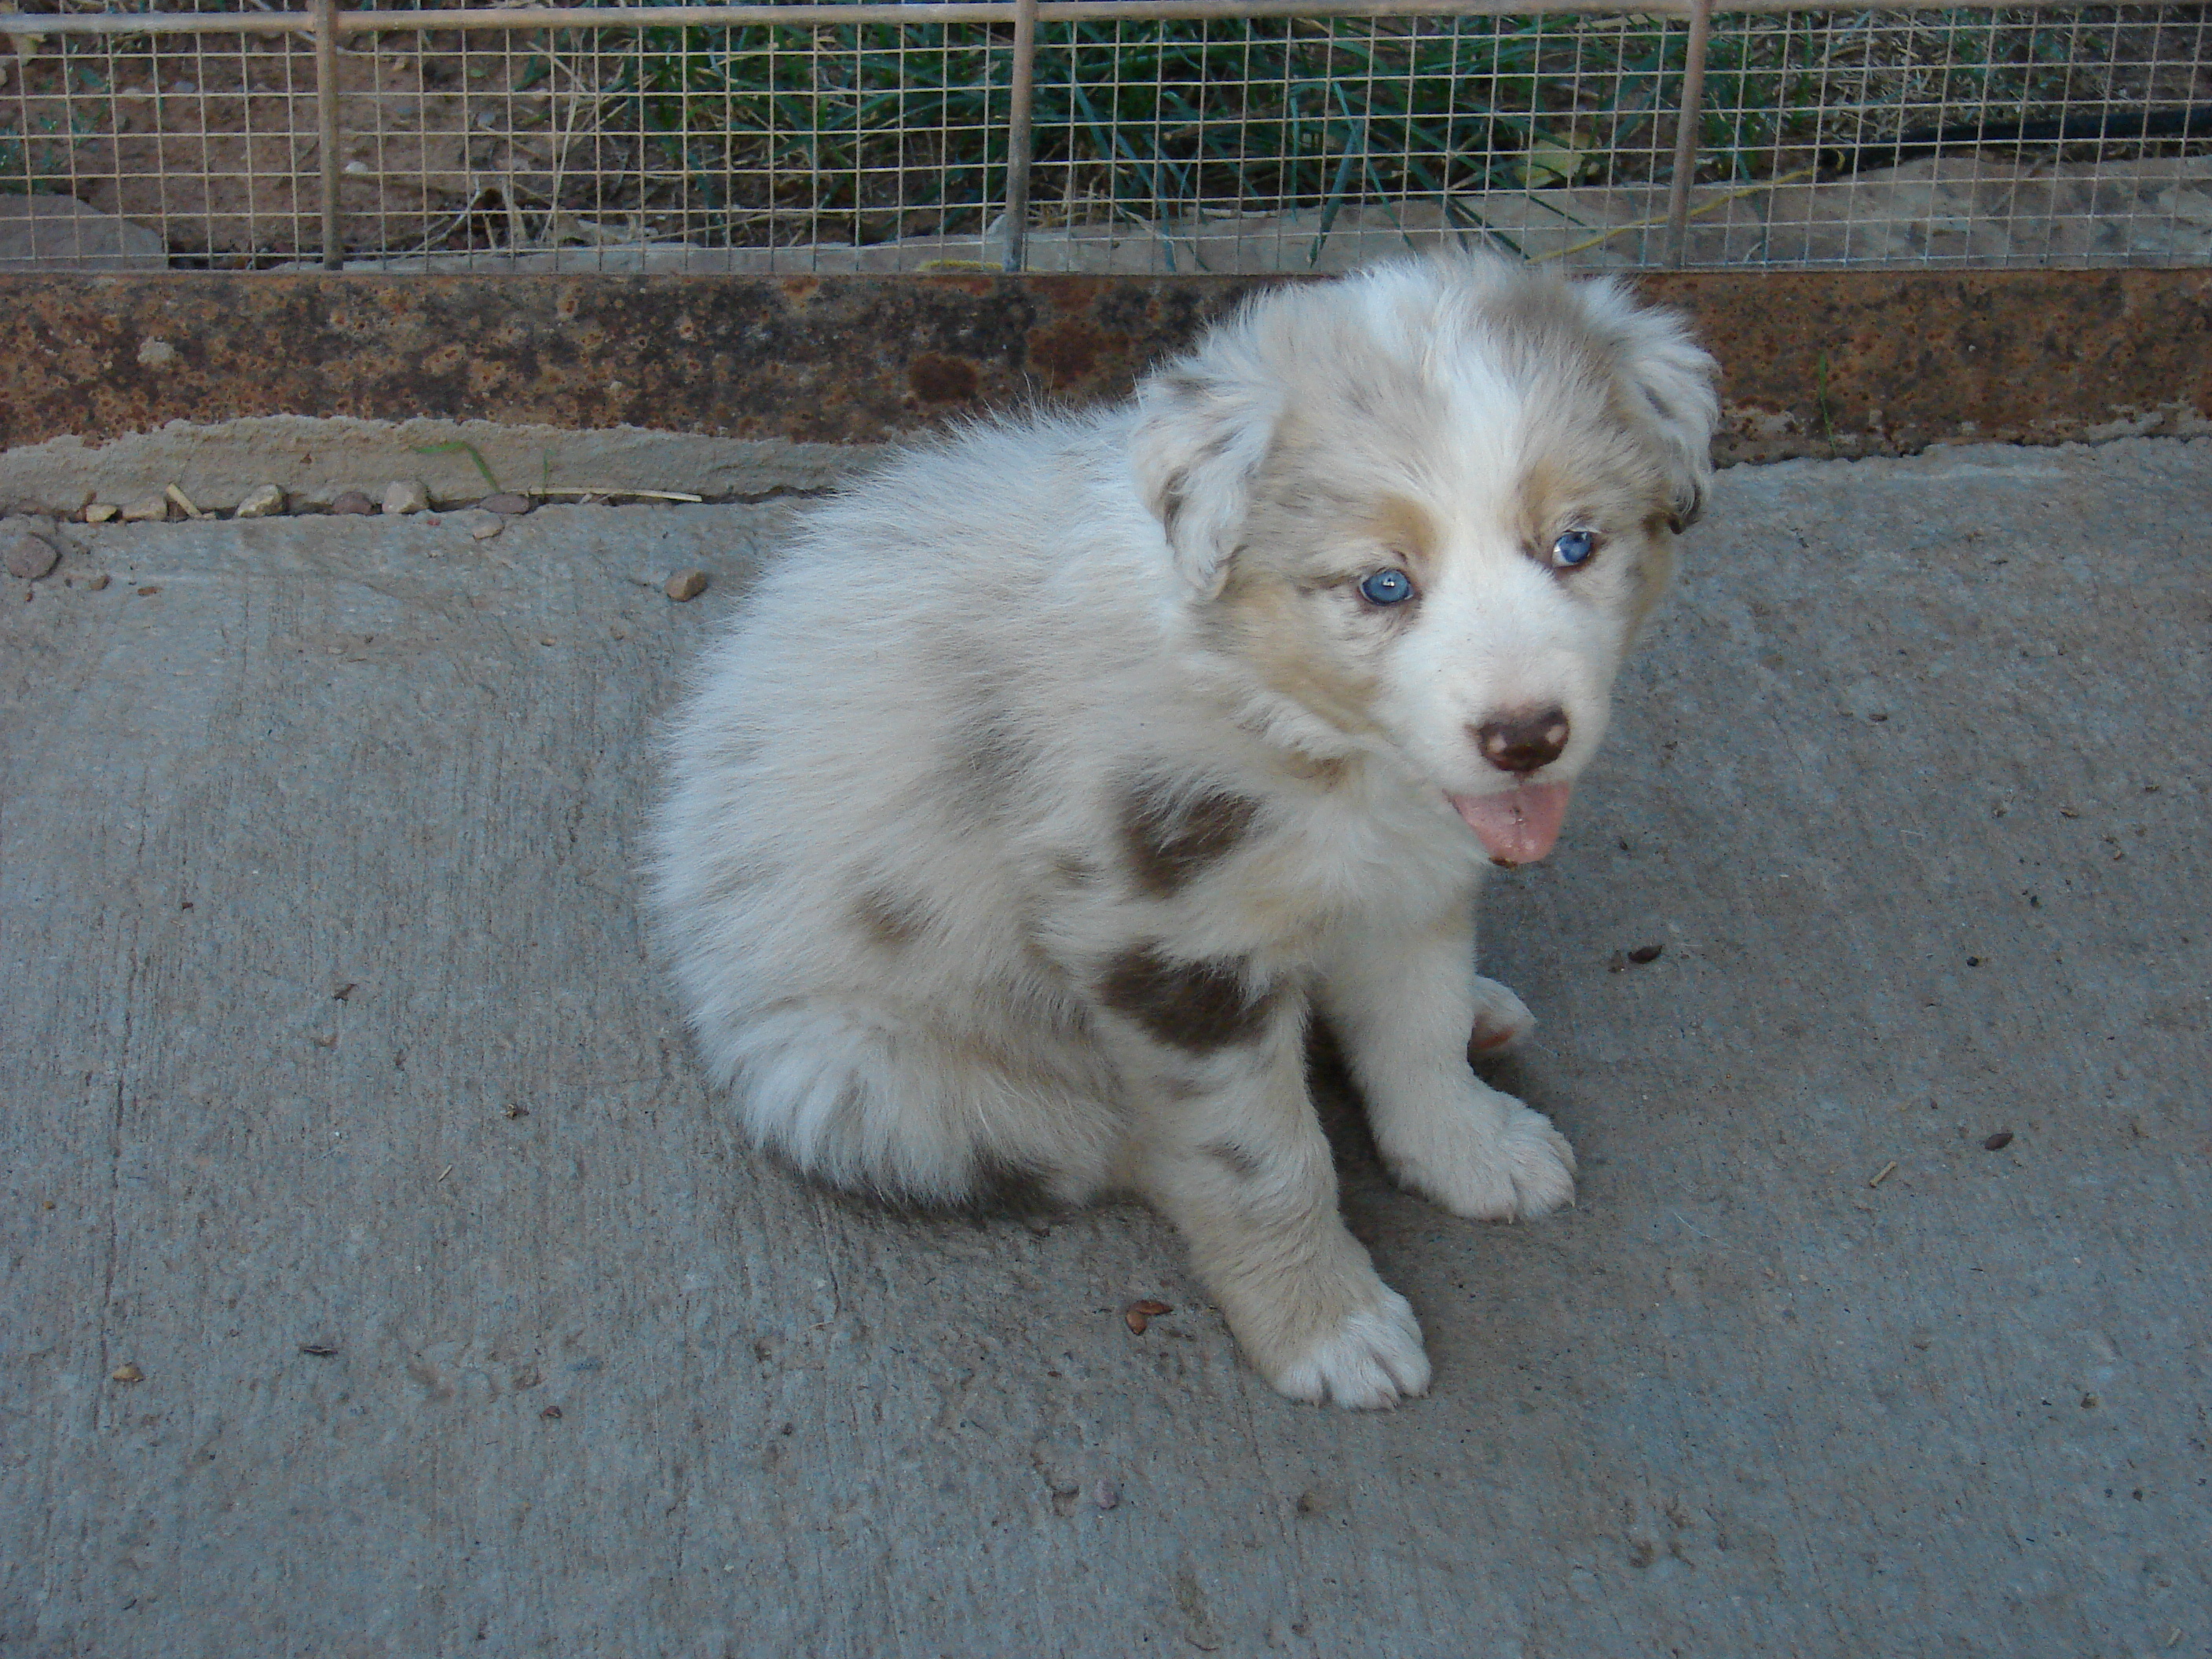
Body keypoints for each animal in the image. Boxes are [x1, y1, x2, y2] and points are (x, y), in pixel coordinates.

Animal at [646, 253, 1716, 1406]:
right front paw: (1327, 1326)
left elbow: (1417, 1028)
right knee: (1112, 1143)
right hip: (856, 1079)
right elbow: (1259, 1159)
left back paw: (1485, 1017)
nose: (1526, 738)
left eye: (1576, 546)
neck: (1296, 726)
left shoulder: (1416, 885)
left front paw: (1468, 1147)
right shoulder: (1167, 947)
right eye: (1384, 585)